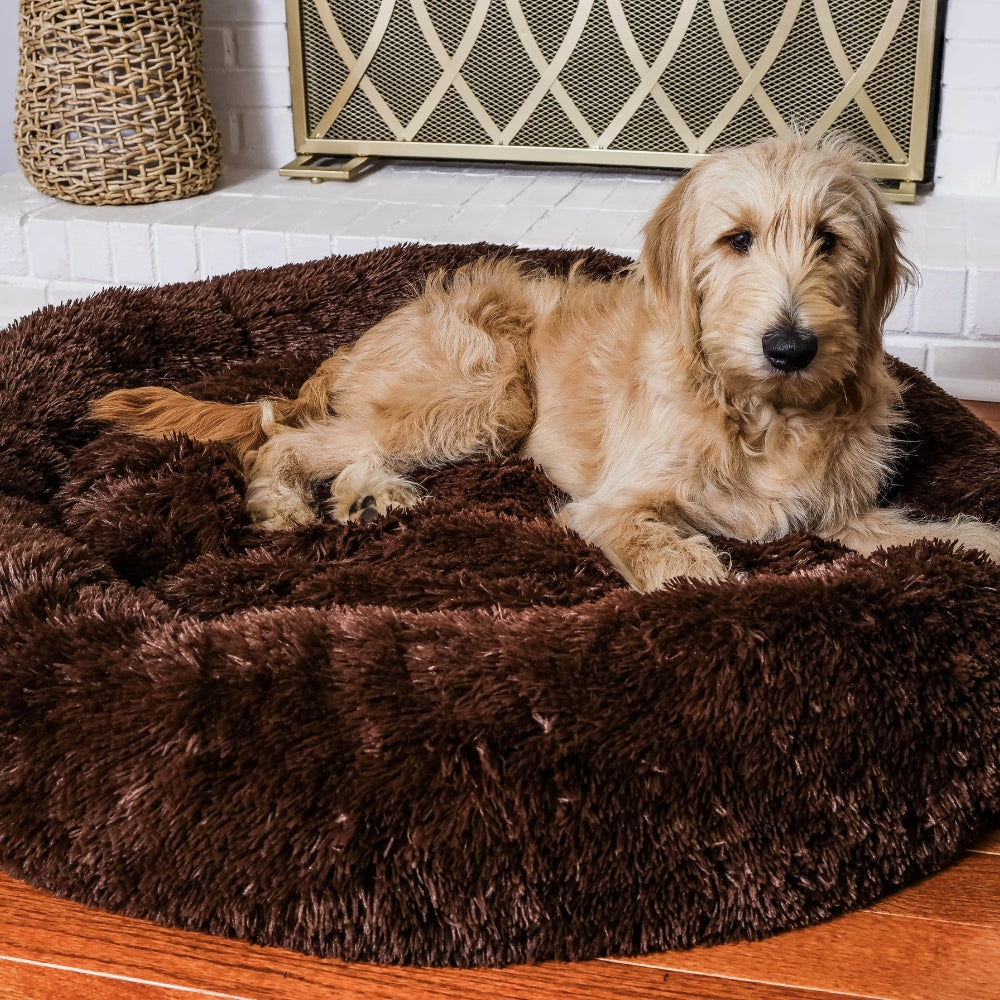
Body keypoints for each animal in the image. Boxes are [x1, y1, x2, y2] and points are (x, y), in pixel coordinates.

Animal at [92, 139, 1000, 592]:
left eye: (829, 241)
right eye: (737, 239)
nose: (791, 346)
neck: (762, 412)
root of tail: (355, 340)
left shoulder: (844, 510)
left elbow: (929, 534)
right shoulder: (613, 502)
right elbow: (658, 546)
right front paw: (691, 573)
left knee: (350, 446)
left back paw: (371, 497)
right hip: (488, 396)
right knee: (283, 440)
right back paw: (286, 505)